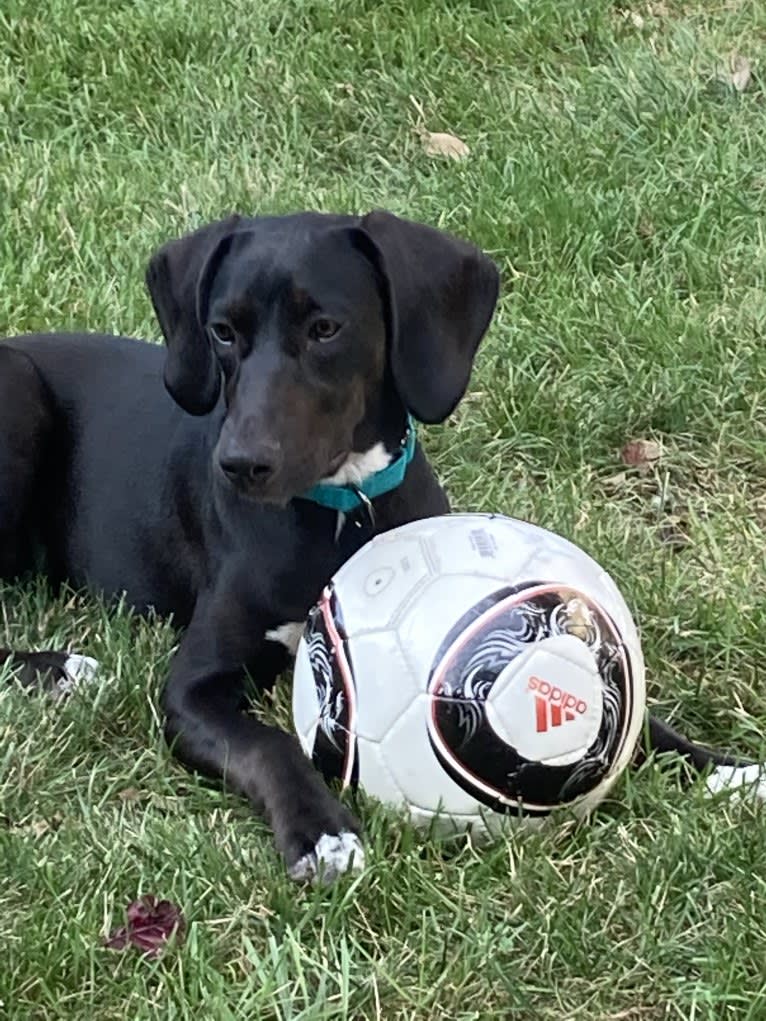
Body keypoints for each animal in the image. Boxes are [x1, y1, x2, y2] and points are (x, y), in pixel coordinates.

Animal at [0, 211, 763, 882]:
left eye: (325, 328)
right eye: (221, 332)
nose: (241, 463)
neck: (345, 507)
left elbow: (637, 721)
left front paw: (726, 767)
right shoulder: (193, 690)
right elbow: (269, 743)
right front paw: (322, 830)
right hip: (21, 400)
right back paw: (59, 667)